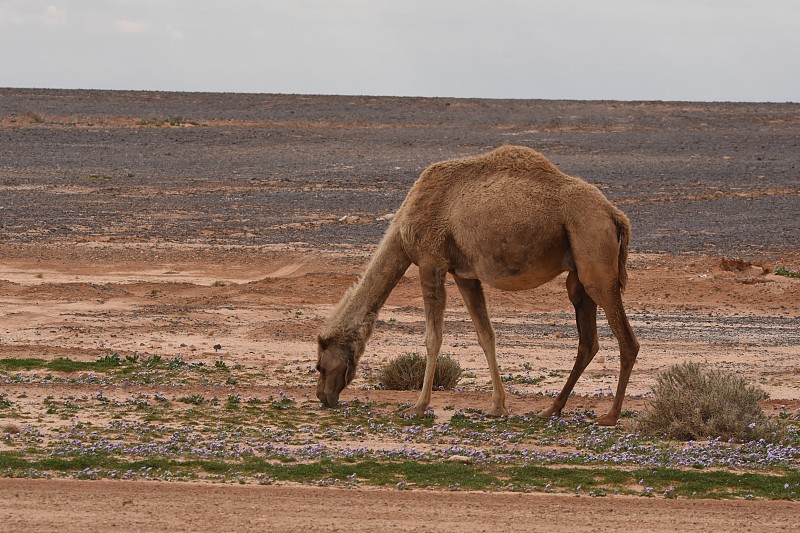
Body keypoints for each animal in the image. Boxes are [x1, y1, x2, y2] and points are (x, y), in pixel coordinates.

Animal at [316, 144, 640, 424]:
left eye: (320, 364)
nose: (323, 396)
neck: (403, 228)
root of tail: (615, 215)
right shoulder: (465, 274)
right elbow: (486, 336)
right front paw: (498, 406)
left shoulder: (431, 262)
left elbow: (433, 338)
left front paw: (418, 405)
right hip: (579, 273)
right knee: (588, 341)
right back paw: (551, 409)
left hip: (594, 256)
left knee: (626, 340)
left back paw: (610, 416)